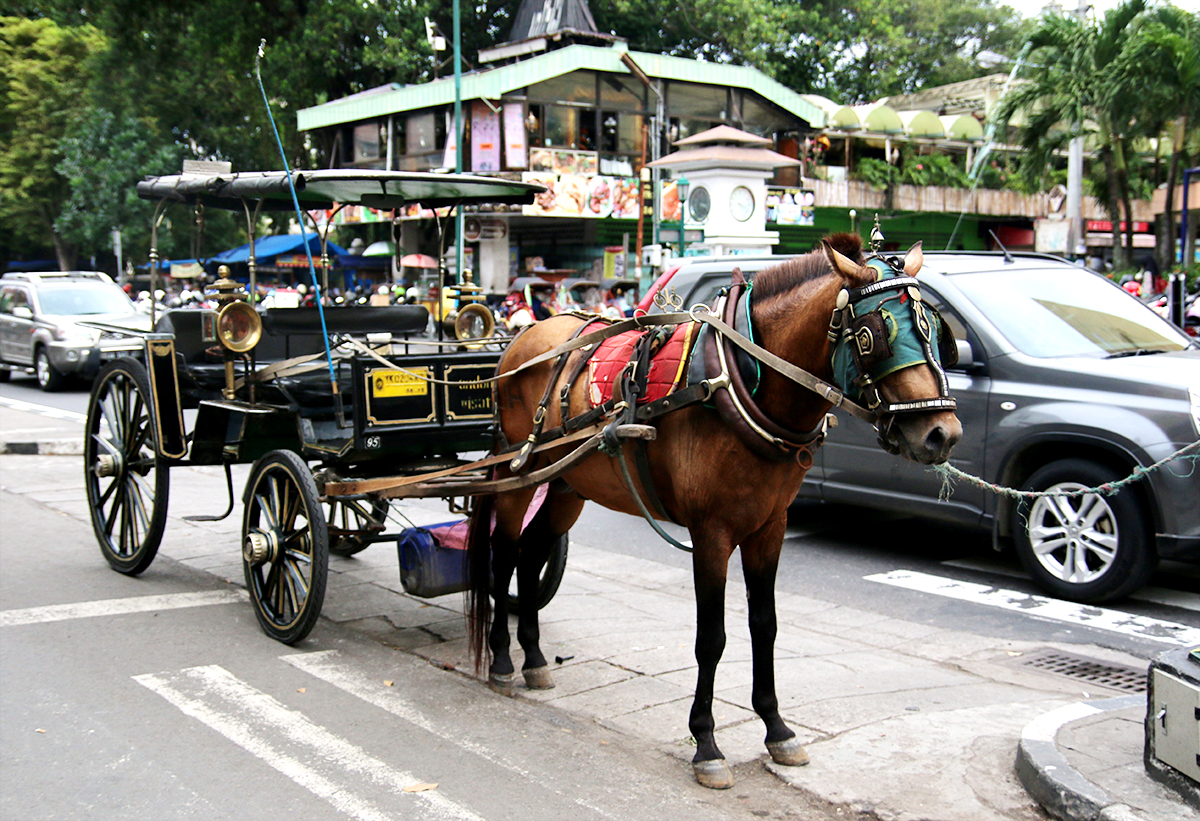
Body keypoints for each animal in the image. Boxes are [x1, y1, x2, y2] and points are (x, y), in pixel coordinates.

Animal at [463, 232, 960, 787]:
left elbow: (764, 625)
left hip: (569, 482)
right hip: (519, 473)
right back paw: (502, 660)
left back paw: (533, 657)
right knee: (504, 552)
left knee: (531, 553)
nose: (941, 433)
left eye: (936, 331)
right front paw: (706, 742)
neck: (744, 378)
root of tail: (522, 338)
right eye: (875, 333)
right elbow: (712, 638)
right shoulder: (712, 533)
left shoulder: (770, 527)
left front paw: (777, 728)